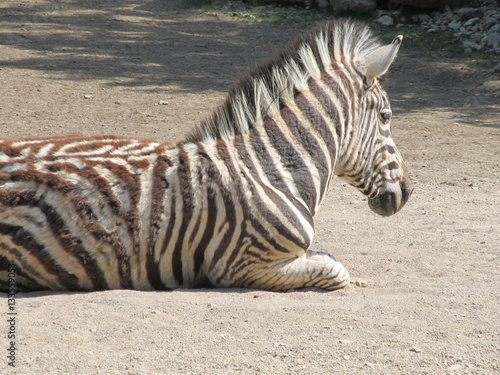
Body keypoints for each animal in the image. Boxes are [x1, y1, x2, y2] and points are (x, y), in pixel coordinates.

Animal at [0, 19, 414, 292]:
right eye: (386, 117)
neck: (270, 169)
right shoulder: (241, 266)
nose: (408, 191)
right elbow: (334, 271)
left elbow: (327, 257)